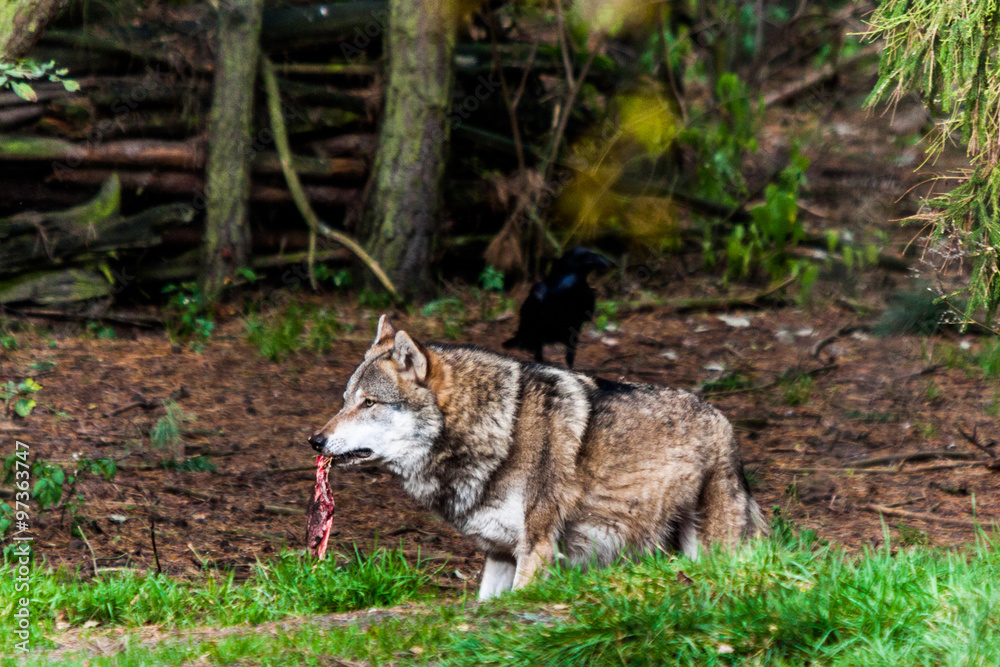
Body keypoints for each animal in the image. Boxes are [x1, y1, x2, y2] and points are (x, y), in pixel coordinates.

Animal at [308, 315, 767, 600]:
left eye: (369, 403)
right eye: (346, 400)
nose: (315, 440)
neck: (498, 431)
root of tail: (727, 429)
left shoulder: (538, 549)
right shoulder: (500, 554)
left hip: (713, 550)